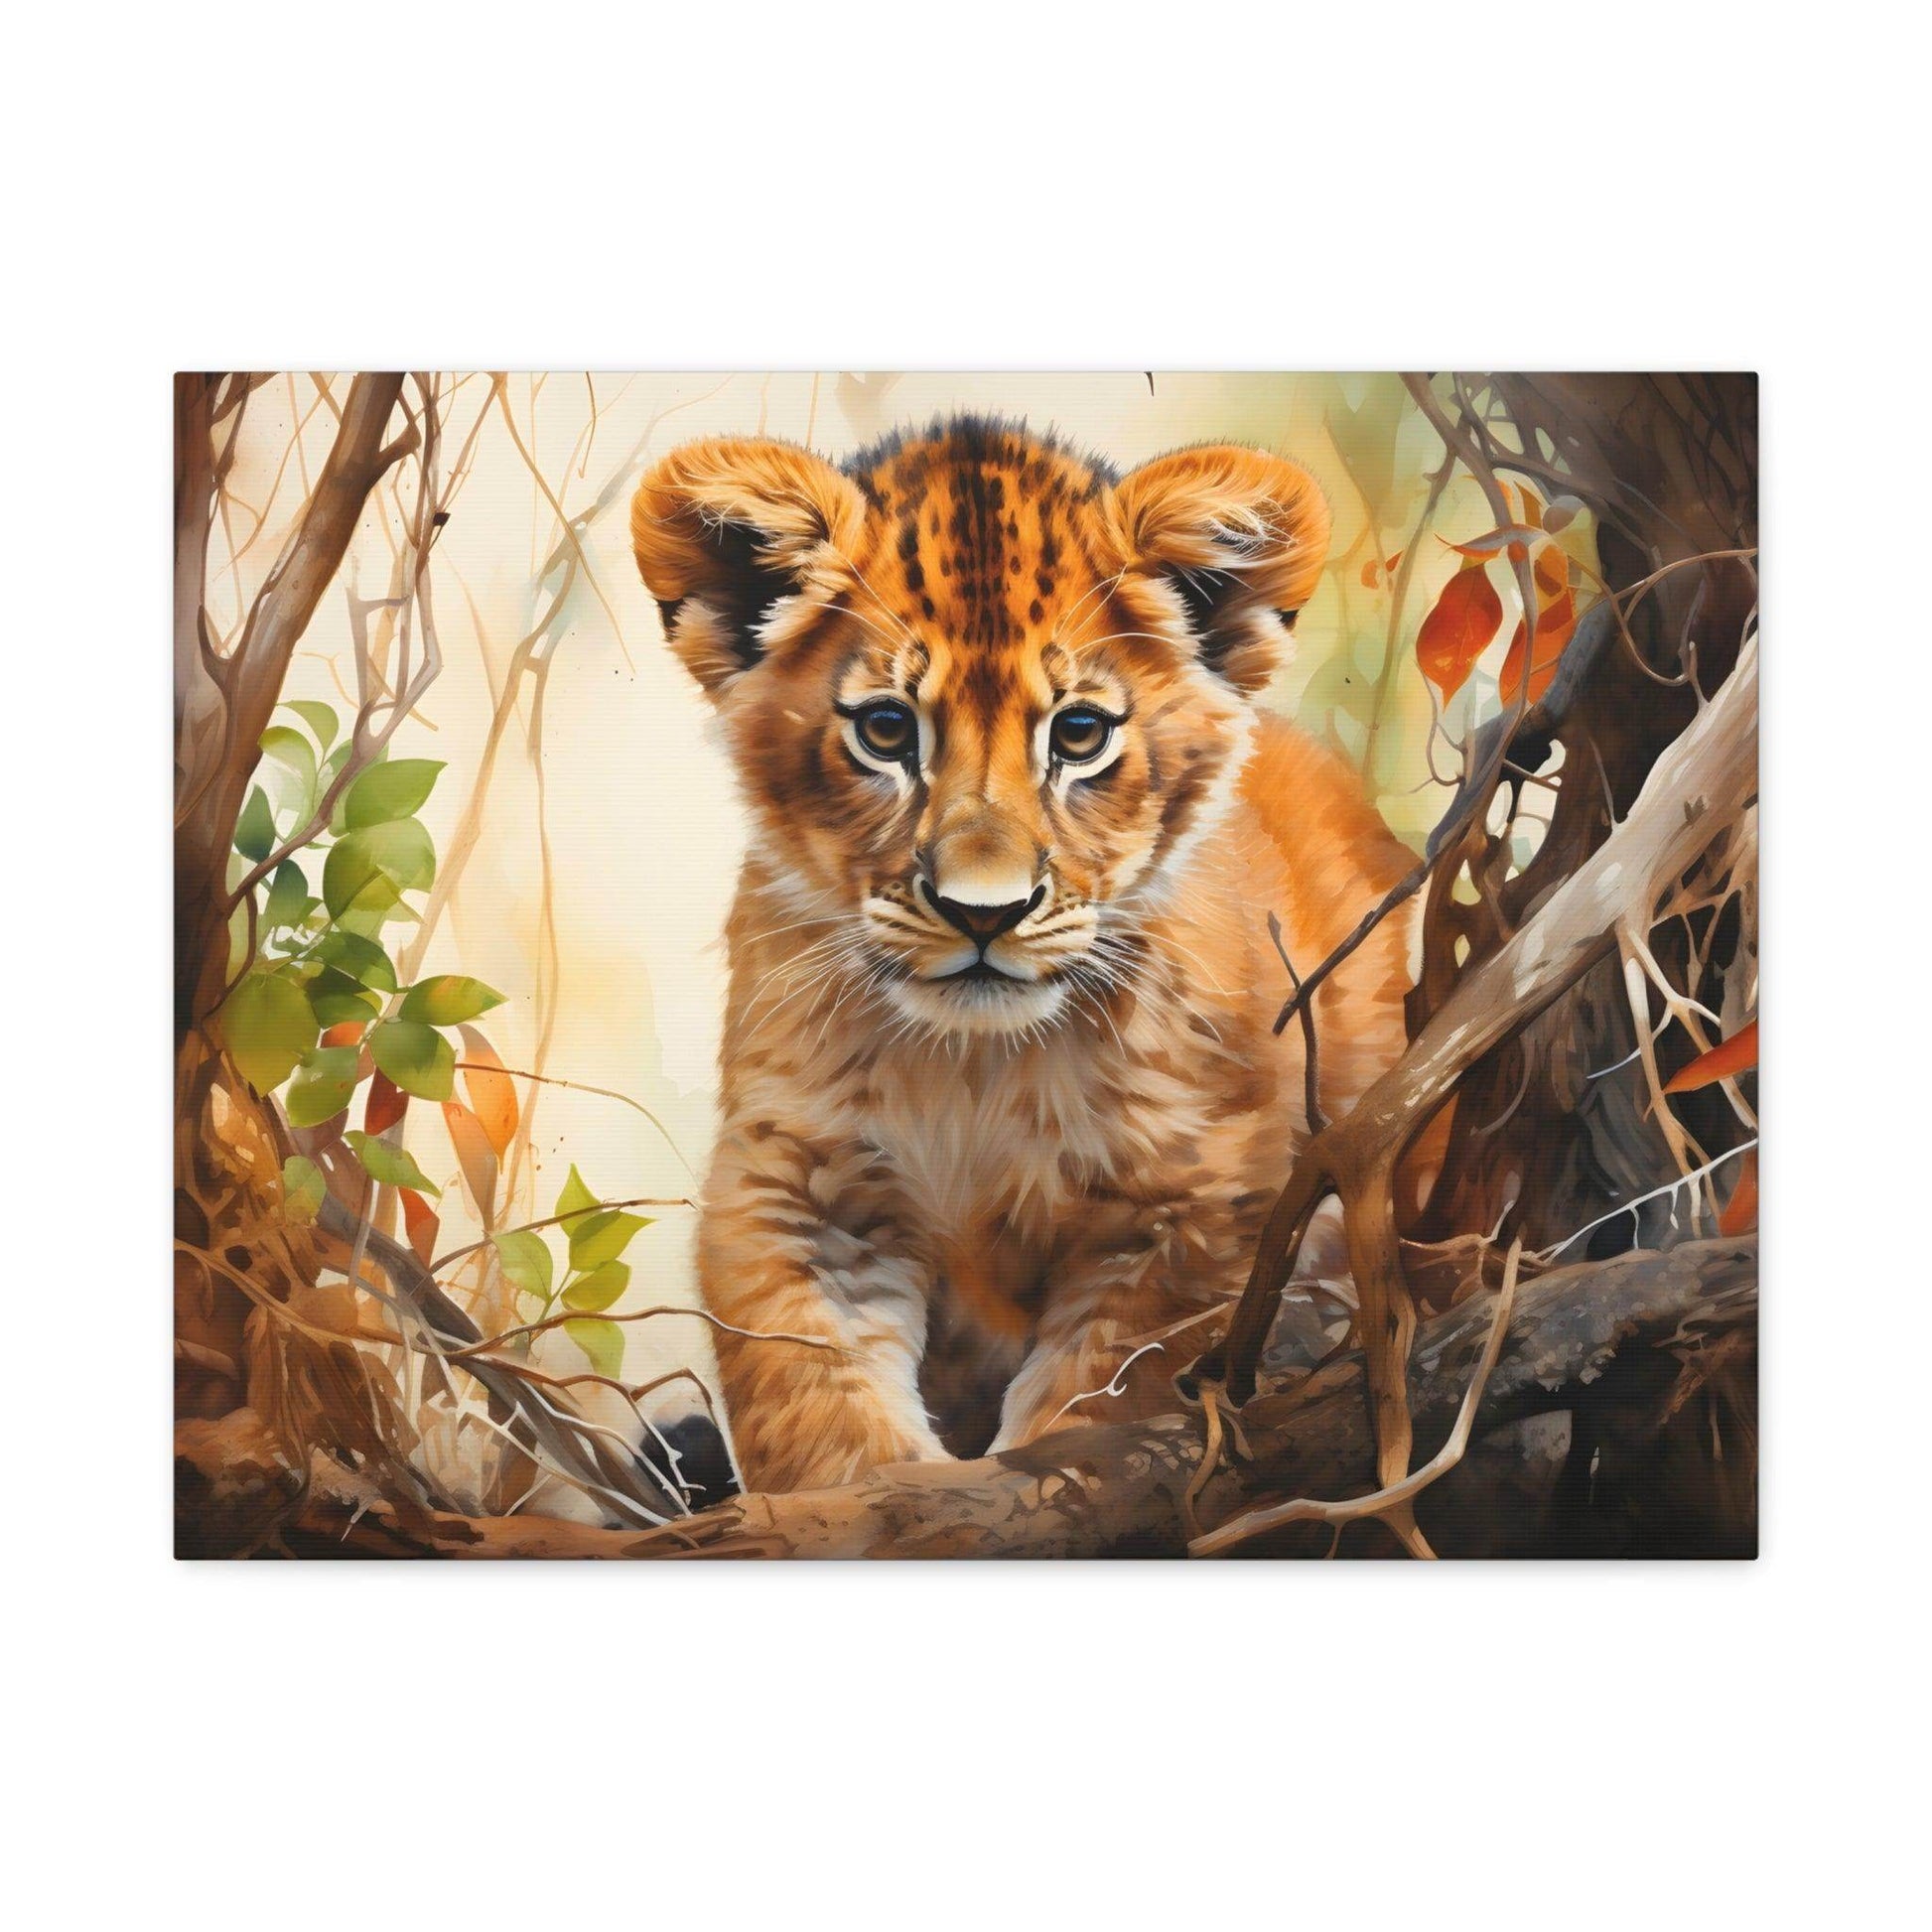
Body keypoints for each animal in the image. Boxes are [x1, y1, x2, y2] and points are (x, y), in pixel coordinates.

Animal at [632, 415, 1419, 1494]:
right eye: (886, 729)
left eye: (1078, 734)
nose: (983, 914)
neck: (975, 1070)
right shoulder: (797, 1185)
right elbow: (817, 1410)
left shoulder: (1192, 1204)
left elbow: (1103, 1404)